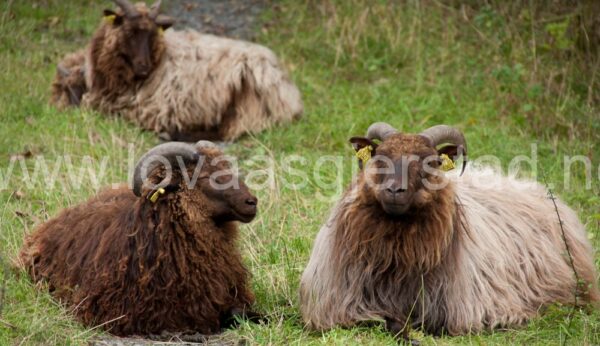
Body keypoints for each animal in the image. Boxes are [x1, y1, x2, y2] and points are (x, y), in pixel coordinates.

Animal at [50, 0, 304, 141]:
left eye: (152, 34)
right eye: (130, 31)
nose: (143, 67)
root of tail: (291, 96)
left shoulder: (146, 108)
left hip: (244, 98)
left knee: (226, 132)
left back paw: (173, 133)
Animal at [300, 121, 600, 340]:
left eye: (430, 162)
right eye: (379, 157)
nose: (395, 191)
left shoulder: (458, 312)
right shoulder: (338, 308)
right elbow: (385, 321)